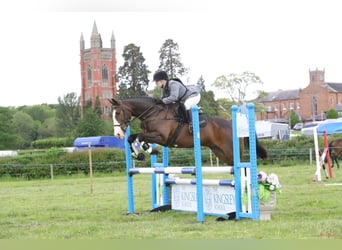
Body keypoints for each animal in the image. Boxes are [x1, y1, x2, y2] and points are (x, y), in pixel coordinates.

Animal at [108, 96, 268, 166]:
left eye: (118, 113)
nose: (118, 134)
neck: (153, 113)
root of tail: (233, 124)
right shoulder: (152, 135)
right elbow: (132, 138)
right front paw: (139, 154)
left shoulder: (161, 137)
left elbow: (141, 138)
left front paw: (150, 150)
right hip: (220, 152)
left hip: (231, 151)